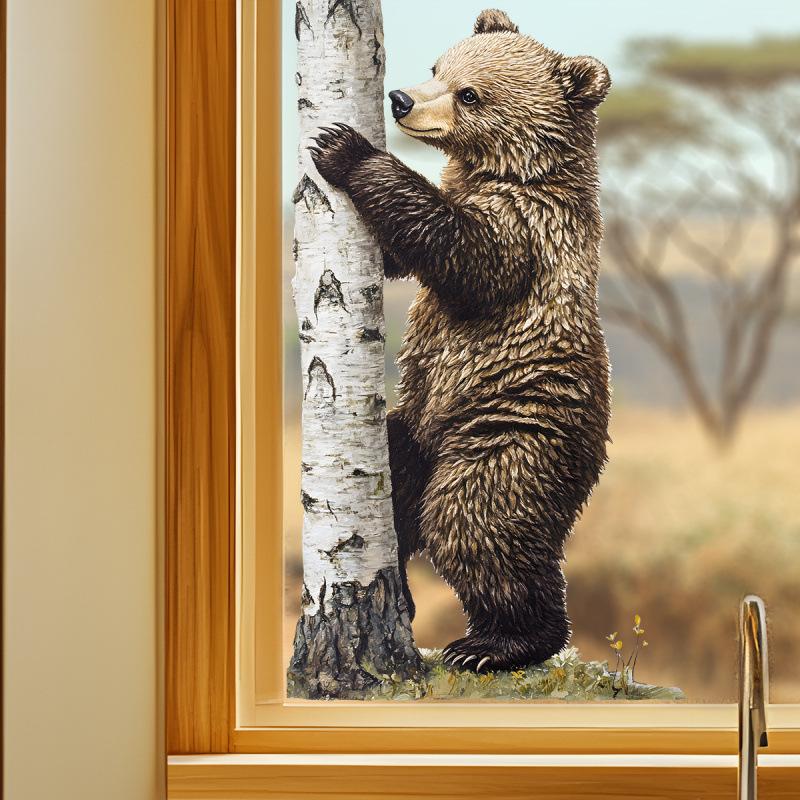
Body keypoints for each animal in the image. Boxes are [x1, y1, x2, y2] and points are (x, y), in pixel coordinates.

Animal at [310, 8, 611, 672]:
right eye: (437, 67)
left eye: (471, 94)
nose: (399, 100)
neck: (502, 170)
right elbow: (401, 256)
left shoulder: (529, 226)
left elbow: (465, 257)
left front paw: (343, 148)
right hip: (417, 421)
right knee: (395, 481)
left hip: (511, 429)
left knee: (474, 521)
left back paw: (499, 643)